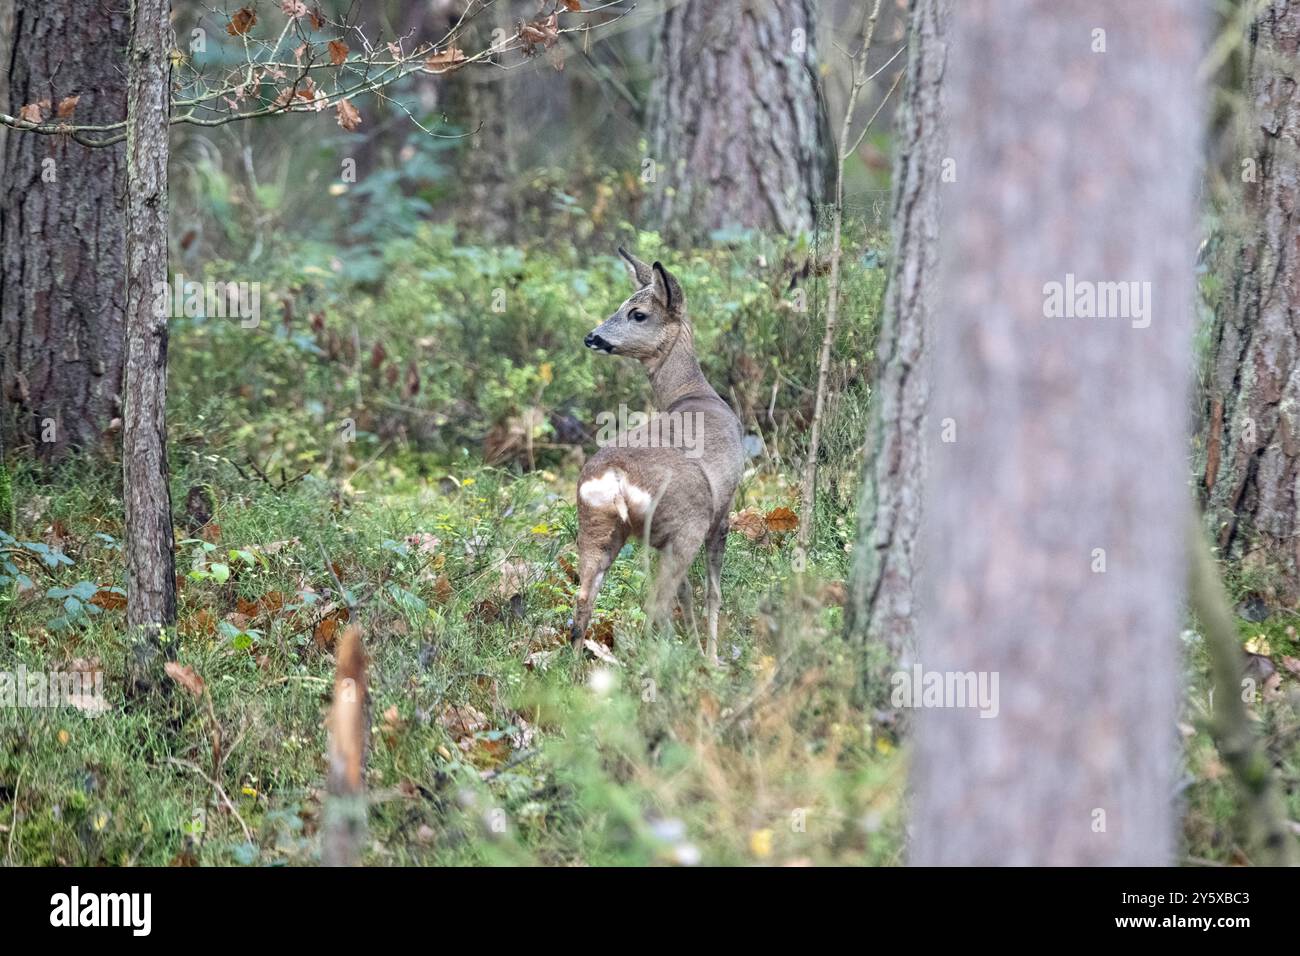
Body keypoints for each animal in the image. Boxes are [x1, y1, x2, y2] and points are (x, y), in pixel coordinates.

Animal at [571, 248, 745, 666]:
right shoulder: (724, 507)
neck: (694, 392)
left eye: (636, 312)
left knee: (584, 599)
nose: (592, 337)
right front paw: (710, 656)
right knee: (658, 605)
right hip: (685, 524)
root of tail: (615, 476)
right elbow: (711, 591)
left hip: (597, 523)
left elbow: (689, 593)